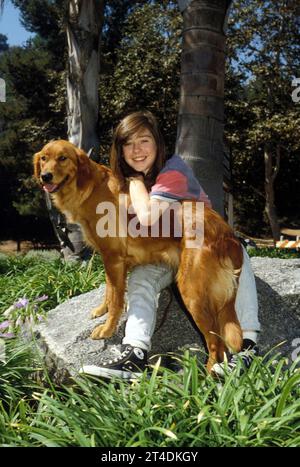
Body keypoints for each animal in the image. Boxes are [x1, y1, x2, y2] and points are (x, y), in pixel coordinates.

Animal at [33, 140, 244, 372]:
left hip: (191, 291)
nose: (45, 176)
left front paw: (106, 329)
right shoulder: (110, 259)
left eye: (63, 158)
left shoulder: (113, 258)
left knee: (215, 343)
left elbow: (116, 299)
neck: (88, 187)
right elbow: (109, 290)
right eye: (44, 158)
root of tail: (226, 234)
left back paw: (204, 376)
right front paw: (101, 310)